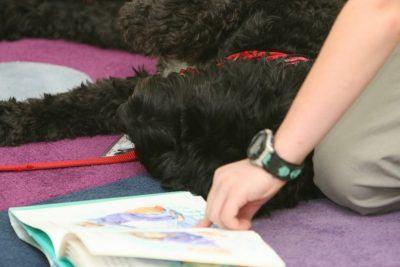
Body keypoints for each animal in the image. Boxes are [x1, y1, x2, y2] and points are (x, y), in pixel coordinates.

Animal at [0, 0, 346, 214]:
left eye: (170, 151)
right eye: (187, 116)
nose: (128, 117)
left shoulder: (138, 87)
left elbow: (78, 105)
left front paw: (10, 120)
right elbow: (201, 14)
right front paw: (142, 16)